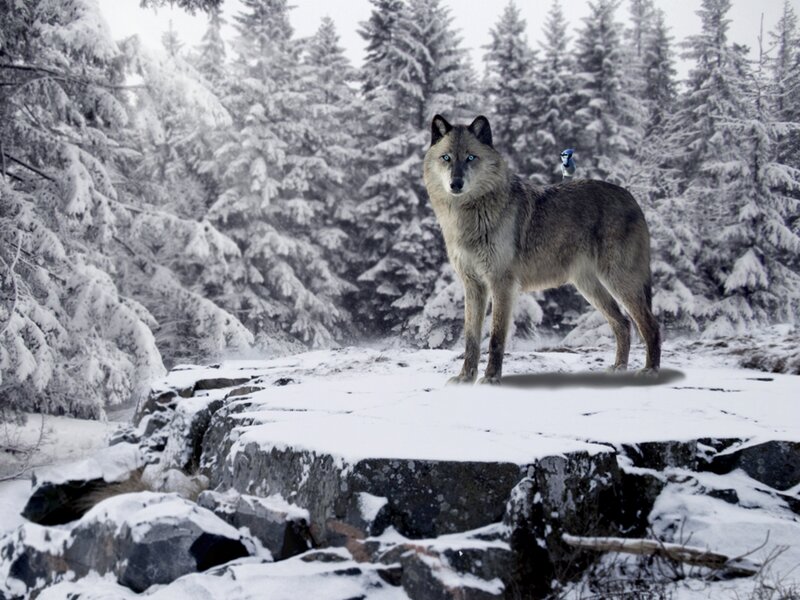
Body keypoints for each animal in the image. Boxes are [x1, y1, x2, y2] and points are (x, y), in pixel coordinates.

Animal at [423, 114, 661, 384]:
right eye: (447, 158)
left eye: (471, 157)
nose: (456, 183)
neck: (471, 215)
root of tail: (631, 197)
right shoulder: (473, 286)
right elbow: (471, 338)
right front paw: (465, 377)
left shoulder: (502, 284)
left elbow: (495, 338)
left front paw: (492, 378)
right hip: (591, 287)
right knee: (623, 323)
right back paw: (619, 368)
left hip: (618, 281)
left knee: (651, 325)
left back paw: (650, 371)